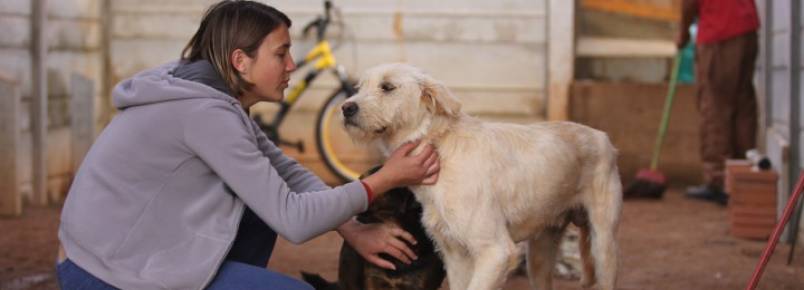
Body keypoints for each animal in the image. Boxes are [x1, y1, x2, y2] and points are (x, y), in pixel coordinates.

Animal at [342, 64, 624, 290]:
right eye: (359, 87)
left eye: (387, 87)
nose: (346, 108)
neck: (439, 146)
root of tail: (602, 136)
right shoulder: (455, 255)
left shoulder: (496, 252)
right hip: (540, 254)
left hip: (603, 246)